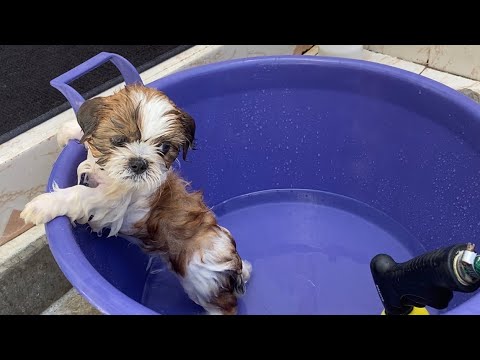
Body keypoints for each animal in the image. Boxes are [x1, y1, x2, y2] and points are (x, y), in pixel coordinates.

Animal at [19, 84, 251, 316]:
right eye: (119, 140)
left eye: (164, 147)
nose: (139, 163)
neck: (111, 177)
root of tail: (233, 259)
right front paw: (68, 131)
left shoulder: (111, 204)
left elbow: (81, 193)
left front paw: (43, 205)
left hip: (202, 282)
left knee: (223, 305)